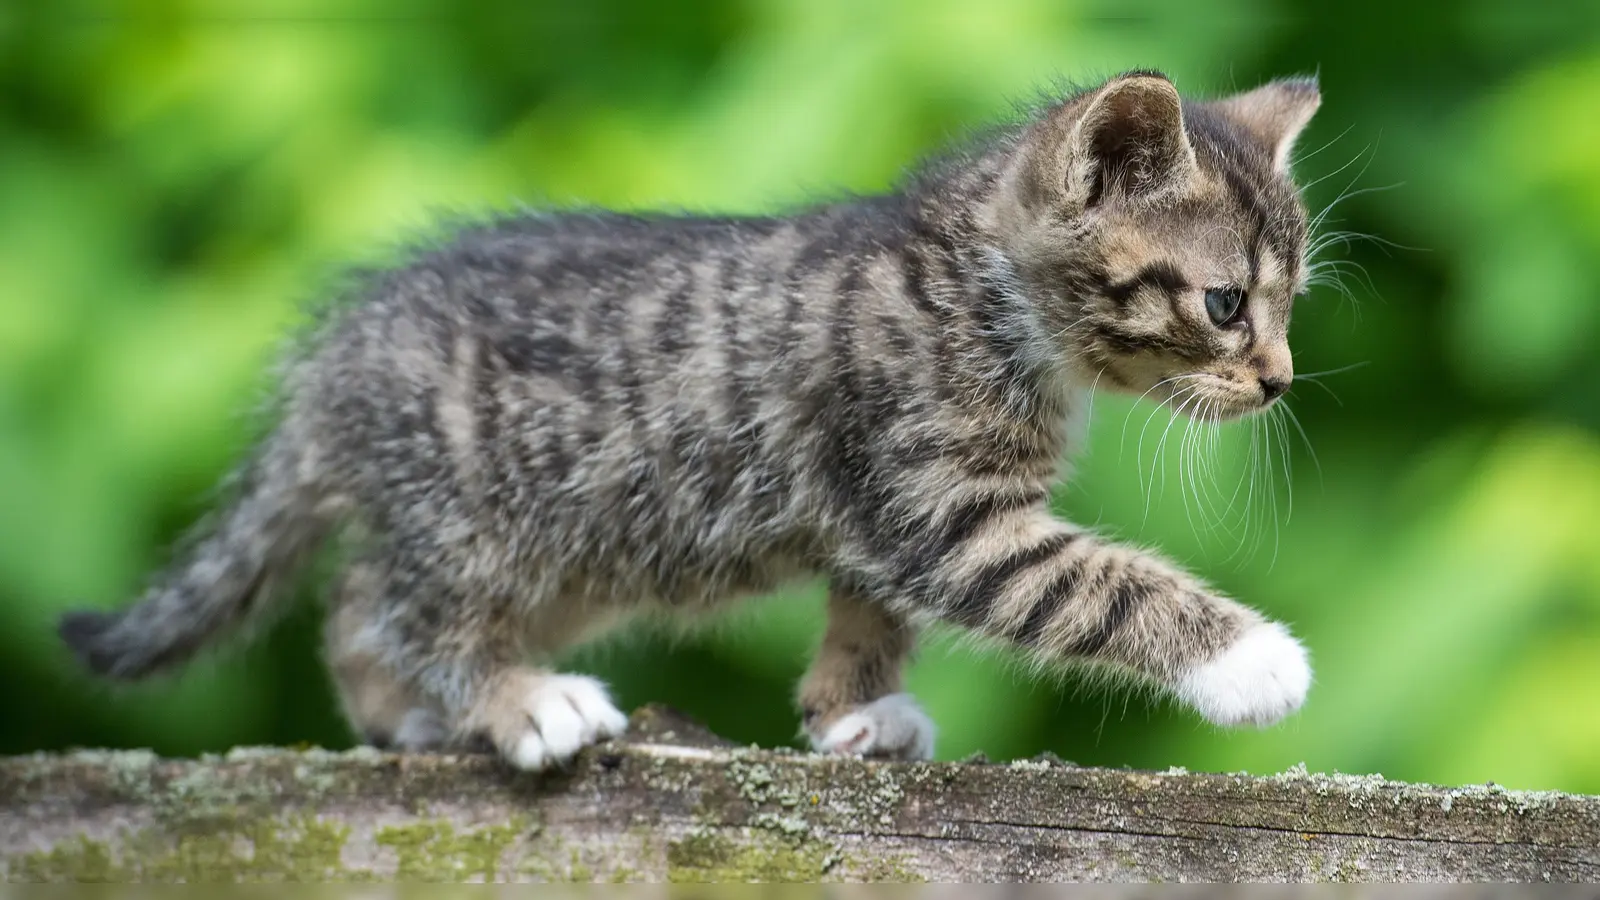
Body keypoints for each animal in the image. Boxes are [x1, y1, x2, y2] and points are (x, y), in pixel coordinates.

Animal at [59, 70, 1324, 762]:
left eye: (1291, 303)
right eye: (1225, 305)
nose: (1277, 379)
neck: (977, 291)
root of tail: (336, 356)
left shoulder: (881, 516)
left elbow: (870, 614)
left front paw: (849, 713)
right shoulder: (938, 508)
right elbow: (1097, 584)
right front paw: (1251, 661)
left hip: (572, 554)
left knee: (357, 605)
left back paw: (412, 716)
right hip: (479, 516)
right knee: (401, 604)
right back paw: (515, 702)